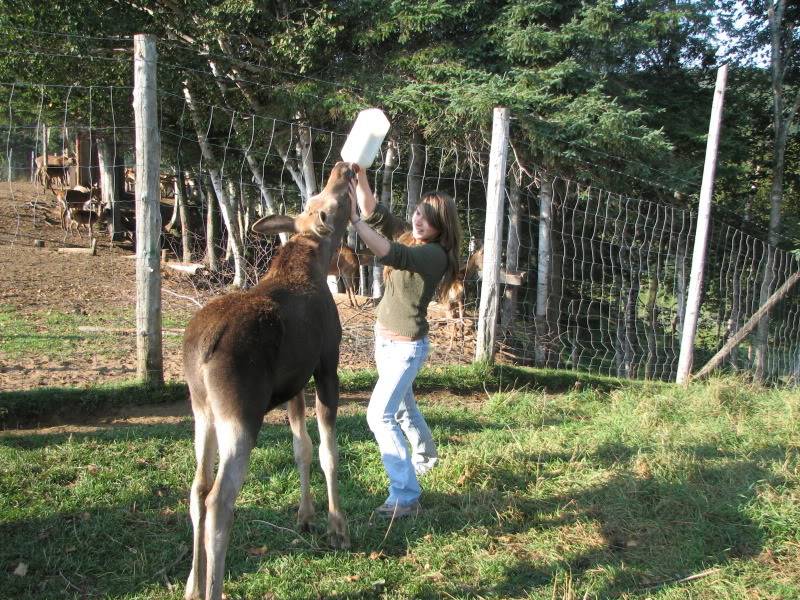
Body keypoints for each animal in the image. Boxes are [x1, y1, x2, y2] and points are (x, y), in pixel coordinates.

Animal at [186, 159, 354, 600]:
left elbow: (302, 449)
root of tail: (200, 348)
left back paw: (193, 583)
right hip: (241, 414)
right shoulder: (326, 366)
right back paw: (214, 589)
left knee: (197, 488)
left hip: (202, 410)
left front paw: (306, 516)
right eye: (333, 201)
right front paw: (337, 528)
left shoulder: (294, 384)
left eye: (318, 195)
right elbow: (329, 452)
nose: (344, 167)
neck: (313, 262)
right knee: (219, 500)